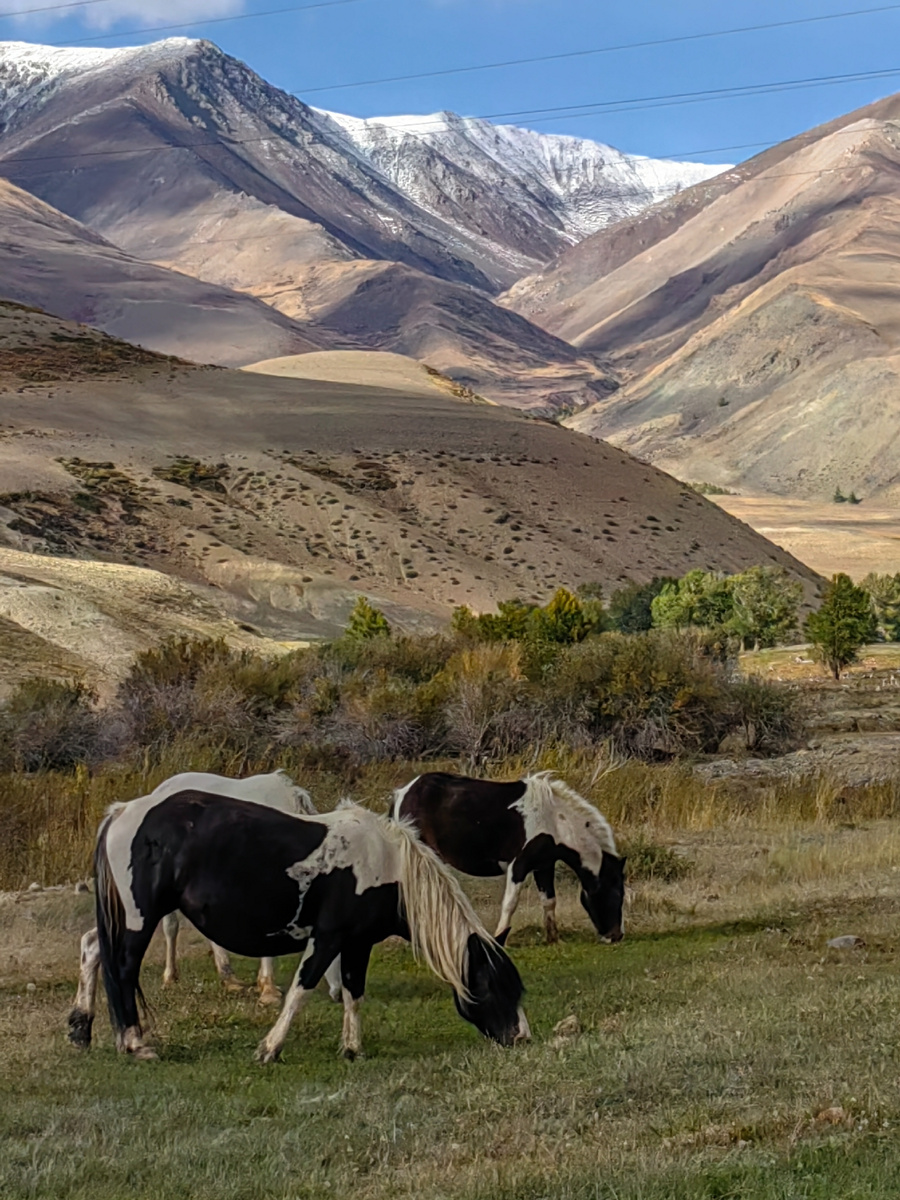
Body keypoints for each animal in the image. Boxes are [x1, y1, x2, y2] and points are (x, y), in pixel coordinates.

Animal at [88, 796, 532, 1060]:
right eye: (492, 986)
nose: (522, 1037)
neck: (385, 864)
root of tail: (122, 811)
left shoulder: (357, 943)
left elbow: (353, 992)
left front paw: (351, 1049)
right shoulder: (328, 938)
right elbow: (301, 990)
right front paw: (269, 1048)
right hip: (138, 920)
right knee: (122, 971)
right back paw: (134, 1042)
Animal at [393, 768, 628, 945]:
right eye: (616, 894)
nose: (616, 936)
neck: (554, 821)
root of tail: (404, 792)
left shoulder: (544, 866)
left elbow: (549, 901)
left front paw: (553, 939)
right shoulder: (519, 865)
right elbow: (510, 902)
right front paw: (499, 938)